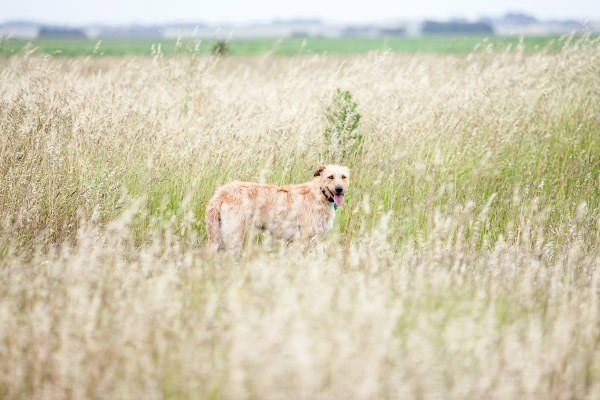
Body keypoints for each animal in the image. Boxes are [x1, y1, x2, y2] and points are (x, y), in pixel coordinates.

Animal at [206, 164, 350, 252]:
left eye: (344, 177)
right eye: (330, 177)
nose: (339, 189)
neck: (320, 193)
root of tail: (221, 193)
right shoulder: (308, 239)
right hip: (233, 236)